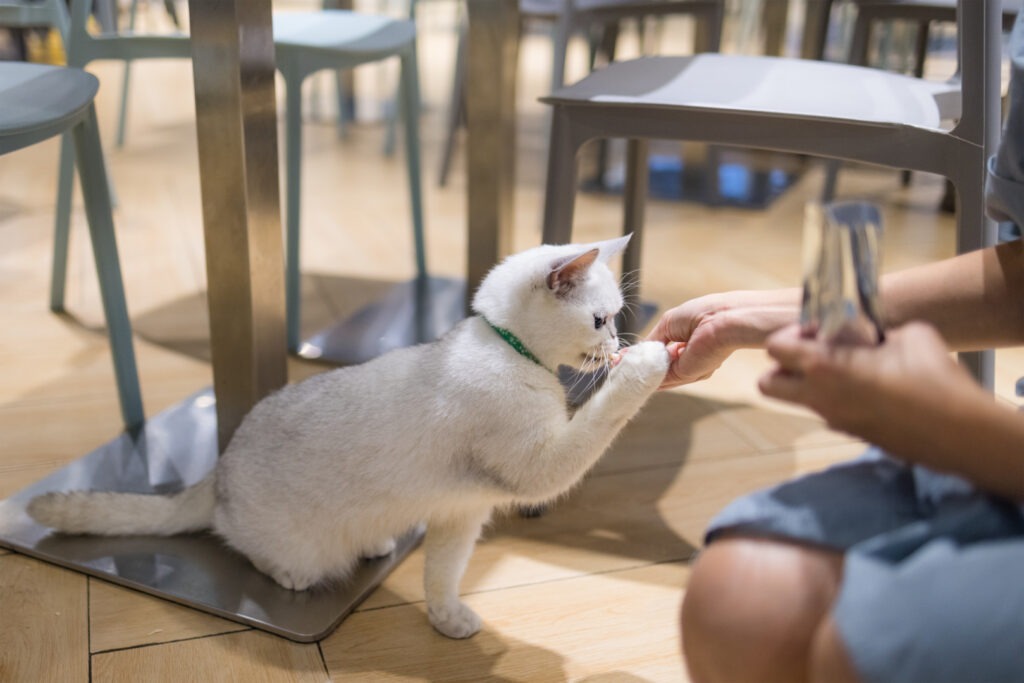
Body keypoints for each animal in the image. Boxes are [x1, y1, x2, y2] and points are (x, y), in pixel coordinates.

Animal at [25, 236, 671, 643]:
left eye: (617, 316)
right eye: (599, 320)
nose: (614, 345)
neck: (507, 349)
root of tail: (219, 468)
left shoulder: (459, 515)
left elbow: (442, 578)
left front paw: (448, 623)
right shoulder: (540, 468)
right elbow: (601, 416)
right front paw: (651, 360)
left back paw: (377, 543)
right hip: (291, 545)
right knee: (240, 543)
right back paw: (291, 571)